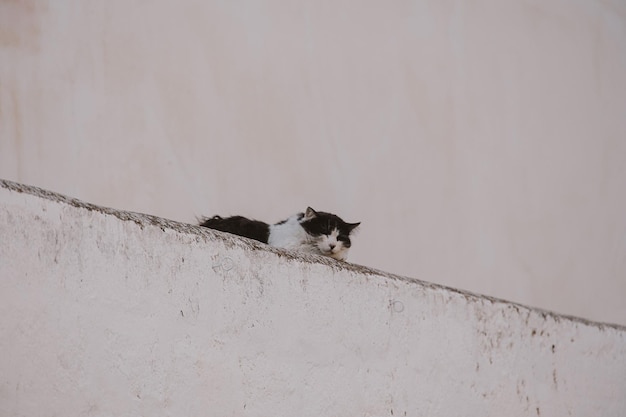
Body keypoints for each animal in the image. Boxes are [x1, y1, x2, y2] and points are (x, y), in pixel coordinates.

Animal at [197, 206, 358, 260]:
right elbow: (312, 249)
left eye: (339, 238)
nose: (332, 245)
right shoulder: (287, 245)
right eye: (324, 232)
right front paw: (341, 256)